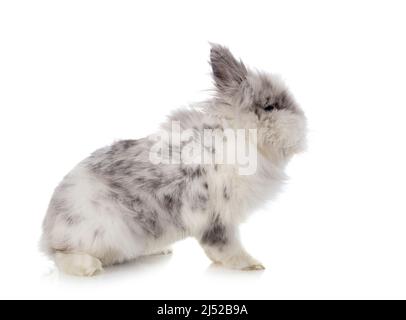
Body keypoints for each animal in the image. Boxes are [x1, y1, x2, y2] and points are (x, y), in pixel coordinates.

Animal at [42, 43, 308, 276]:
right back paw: (89, 268)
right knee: (60, 255)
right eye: (270, 106)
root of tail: (48, 231)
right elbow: (225, 246)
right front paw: (251, 265)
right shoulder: (218, 218)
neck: (241, 137)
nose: (302, 126)